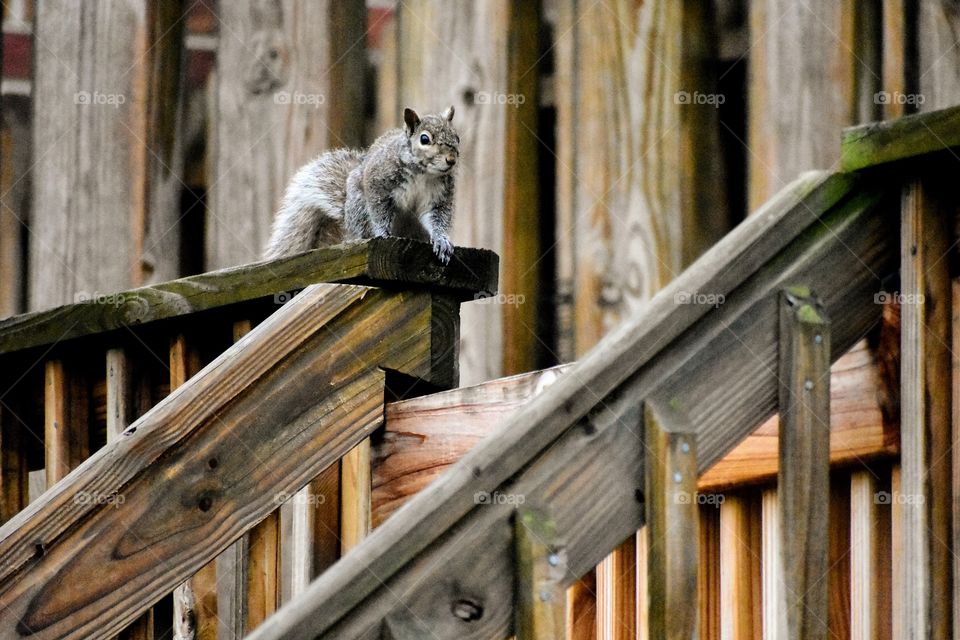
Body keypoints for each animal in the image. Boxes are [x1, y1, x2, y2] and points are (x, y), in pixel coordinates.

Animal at [265, 106, 460, 263]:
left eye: (457, 137)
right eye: (424, 139)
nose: (451, 160)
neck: (423, 174)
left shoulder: (438, 196)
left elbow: (437, 217)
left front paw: (441, 240)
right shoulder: (378, 184)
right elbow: (379, 211)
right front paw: (383, 233)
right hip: (359, 210)